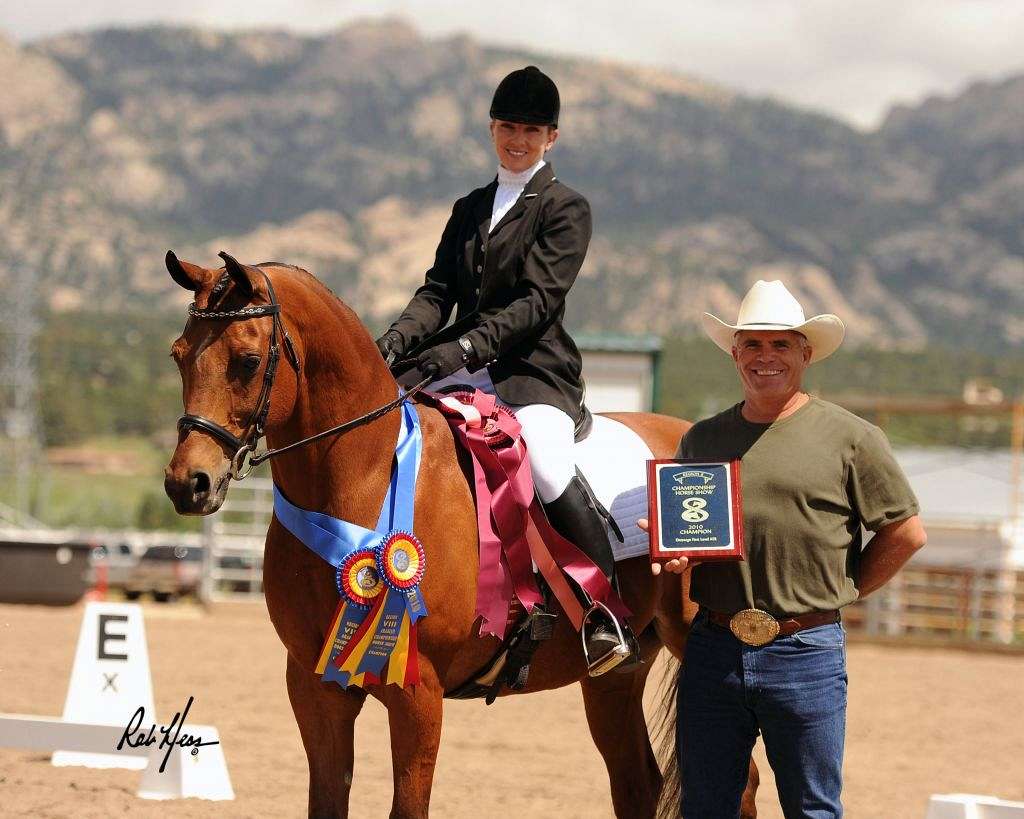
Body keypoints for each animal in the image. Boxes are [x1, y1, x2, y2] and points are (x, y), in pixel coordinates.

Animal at [162, 251, 759, 818]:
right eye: (178, 355)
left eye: (247, 362)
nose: (188, 484)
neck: (364, 479)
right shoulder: (315, 686)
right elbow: (327, 802)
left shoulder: (418, 692)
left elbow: (409, 807)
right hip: (613, 679)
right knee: (639, 786)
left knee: (742, 783)